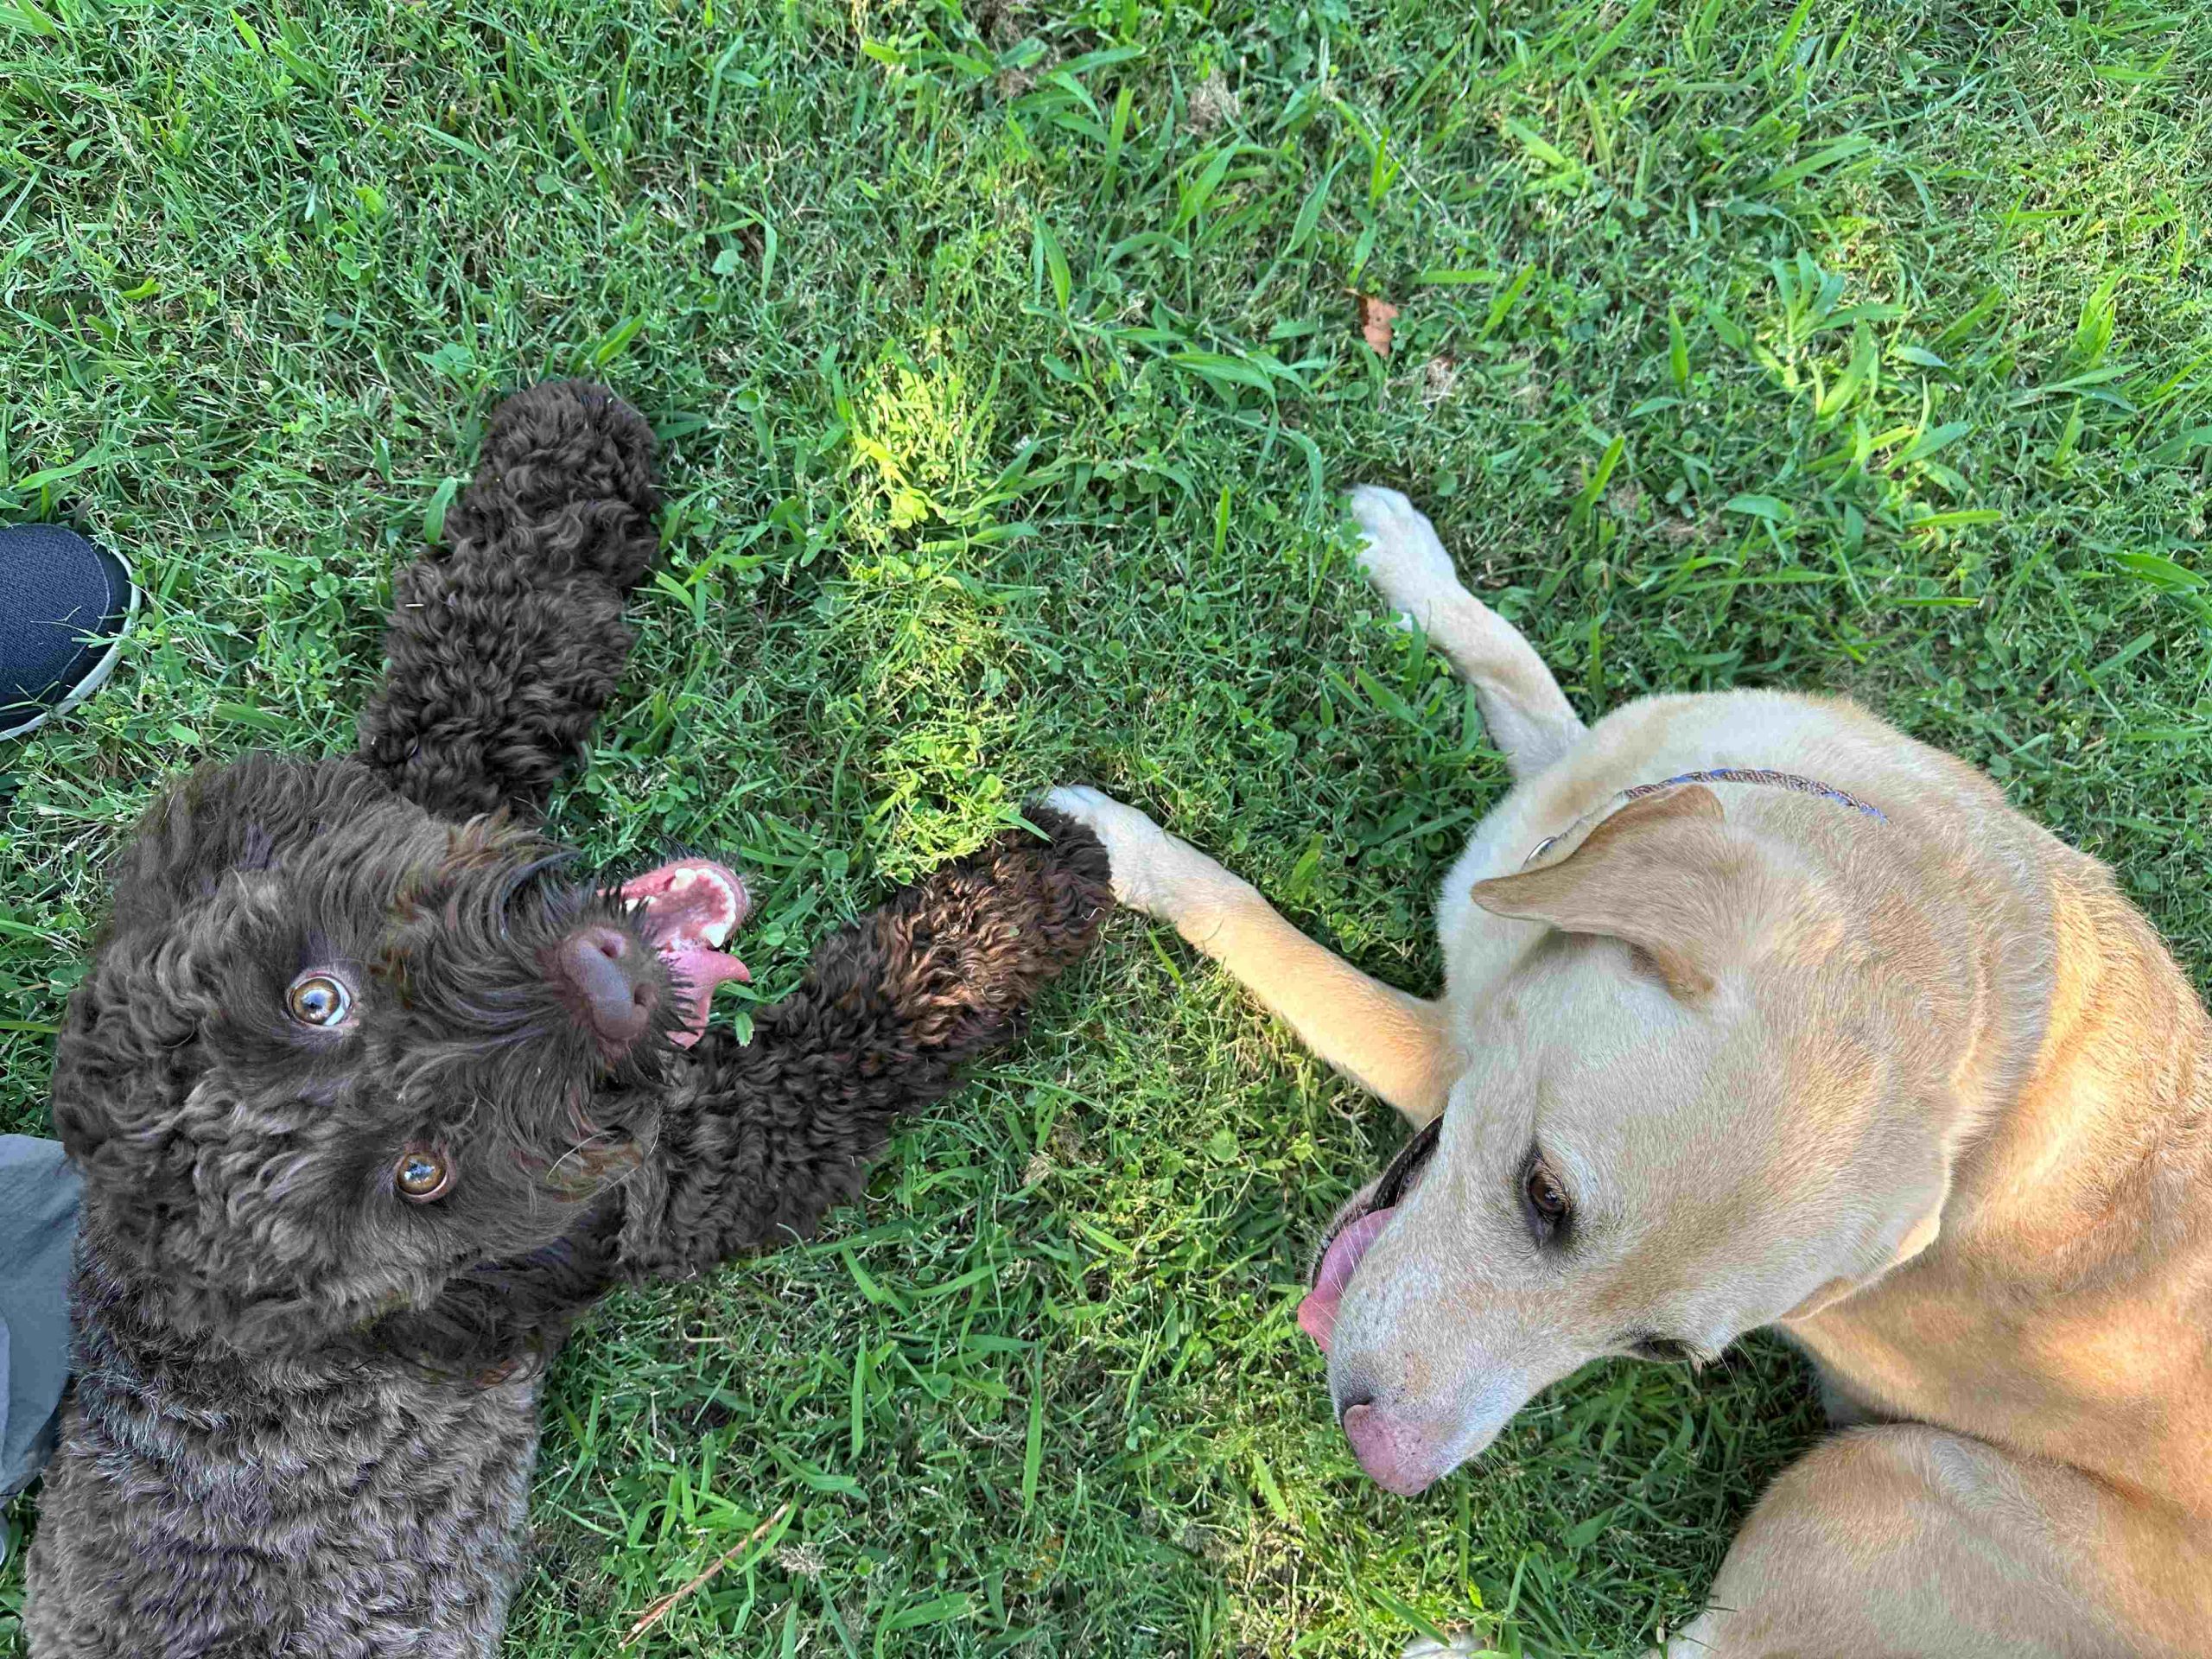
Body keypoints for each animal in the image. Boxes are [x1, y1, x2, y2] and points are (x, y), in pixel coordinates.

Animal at [26, 382, 1115, 1654]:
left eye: (317, 1001)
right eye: (421, 1176)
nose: (606, 984)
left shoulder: (414, 799)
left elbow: (466, 681)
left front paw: (558, 476)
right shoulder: (674, 1175)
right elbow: (854, 1040)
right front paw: (1013, 906)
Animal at [1048, 491, 2212, 1659]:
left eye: (1657, 1351)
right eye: (1545, 1196)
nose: (1391, 1466)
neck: (1906, 901)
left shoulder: (1435, 1047)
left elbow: (1265, 930)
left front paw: (1128, 851)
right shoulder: (1597, 789)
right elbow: (1516, 664)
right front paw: (1408, 561)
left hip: (1873, 1488)